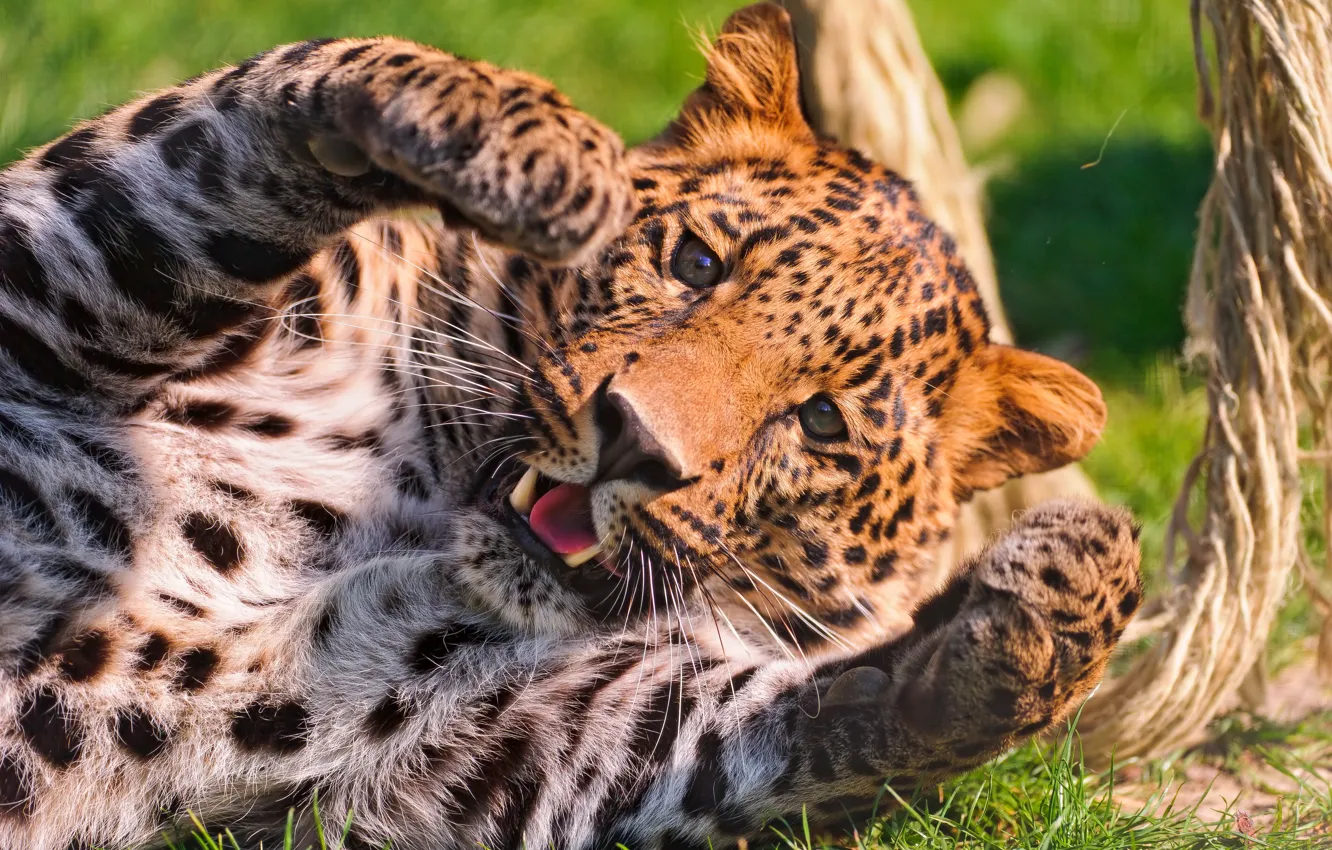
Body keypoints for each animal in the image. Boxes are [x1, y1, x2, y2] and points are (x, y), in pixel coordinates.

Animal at [0, 4, 1142, 849]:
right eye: (695, 262)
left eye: (820, 422)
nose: (636, 440)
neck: (406, 498)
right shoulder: (45, 279)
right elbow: (234, 139)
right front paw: (521, 139)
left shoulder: (468, 733)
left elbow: (805, 724)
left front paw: (1072, 586)